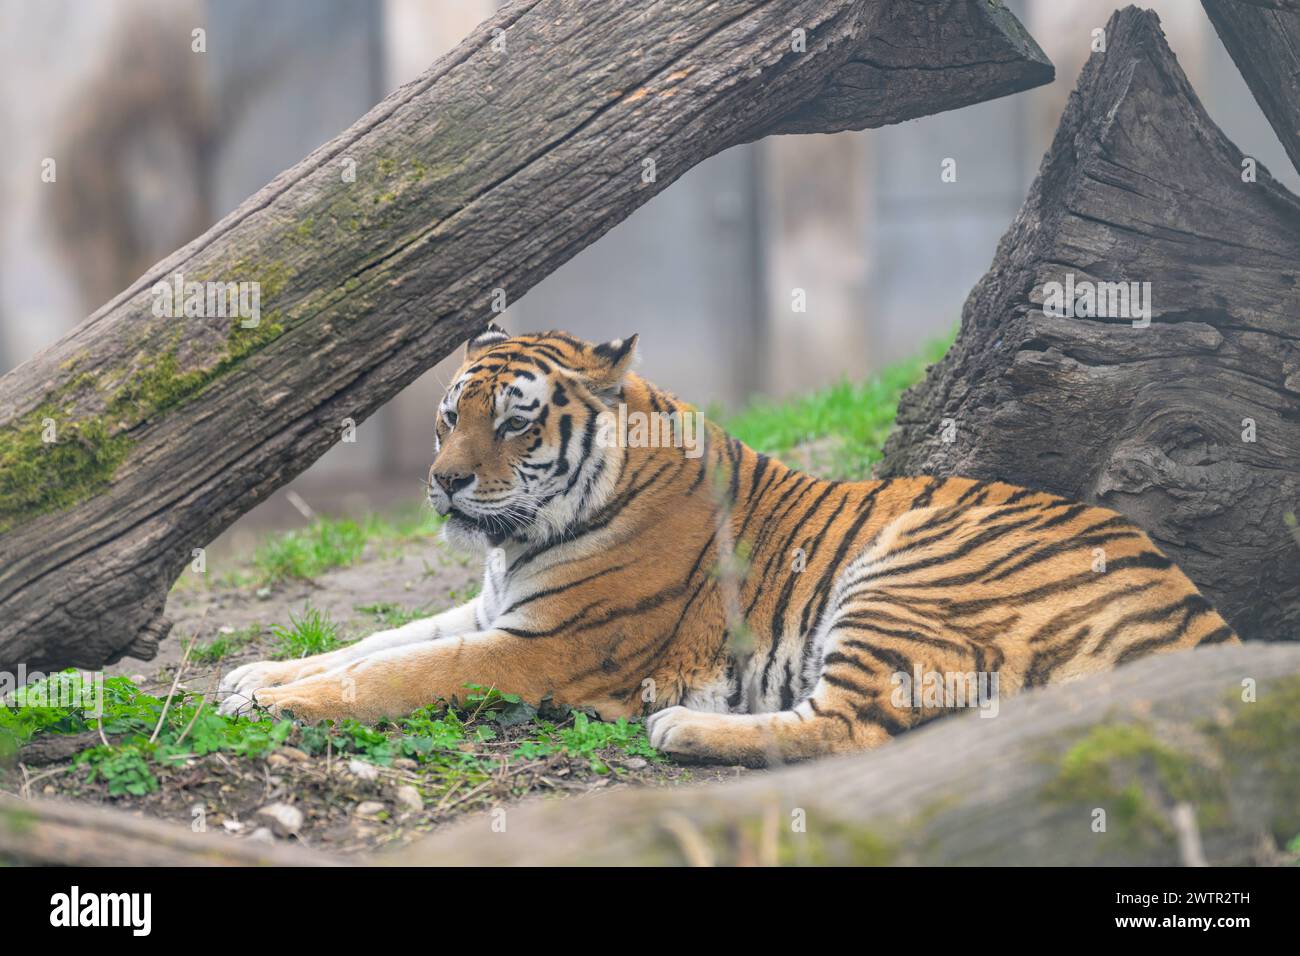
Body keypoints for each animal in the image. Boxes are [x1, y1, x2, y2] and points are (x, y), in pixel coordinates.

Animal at [218, 325, 1242, 764]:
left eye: (512, 422)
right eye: (447, 418)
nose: (444, 482)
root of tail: (1205, 624)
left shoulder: (547, 648)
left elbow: (405, 671)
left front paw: (276, 704)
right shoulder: (491, 609)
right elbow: (375, 643)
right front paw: (254, 676)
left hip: (905, 572)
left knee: (851, 728)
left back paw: (682, 729)